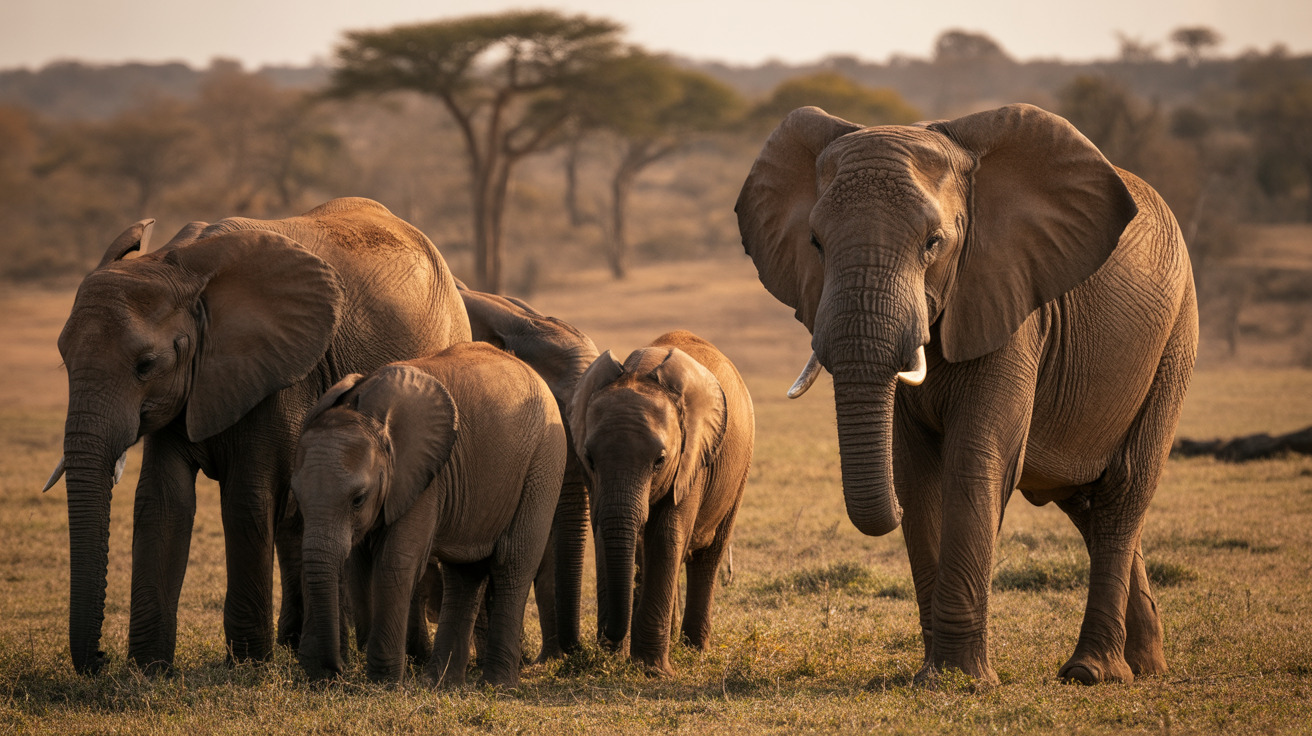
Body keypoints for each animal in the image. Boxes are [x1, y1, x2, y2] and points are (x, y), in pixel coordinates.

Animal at [46, 197, 470, 674]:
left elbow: (246, 500)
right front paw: (149, 670)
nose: (100, 659)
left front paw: (248, 665)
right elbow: (162, 500)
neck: (177, 267)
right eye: (64, 358)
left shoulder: (281, 373)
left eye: (146, 365)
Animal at [292, 342, 565, 686]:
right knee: (464, 574)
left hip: (544, 461)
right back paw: (441, 683)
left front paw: (382, 683)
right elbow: (356, 564)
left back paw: (496, 684)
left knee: (512, 564)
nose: (336, 670)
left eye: (358, 499)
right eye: (297, 496)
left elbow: (395, 562)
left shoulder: (425, 478)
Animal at [569, 329, 754, 676]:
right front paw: (615, 659)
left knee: (708, 556)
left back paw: (694, 650)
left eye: (659, 461)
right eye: (590, 459)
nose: (609, 640)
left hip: (740, 470)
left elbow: (666, 537)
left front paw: (651, 671)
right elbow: (606, 534)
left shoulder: (692, 461)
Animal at [735, 104, 1197, 685]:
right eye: (815, 243)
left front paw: (962, 681)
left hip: (1174, 338)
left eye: (933, 243)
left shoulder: (1011, 299)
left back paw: (1093, 673)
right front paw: (934, 678)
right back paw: (1144, 666)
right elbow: (915, 472)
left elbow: (976, 455)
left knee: (1123, 490)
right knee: (1087, 504)